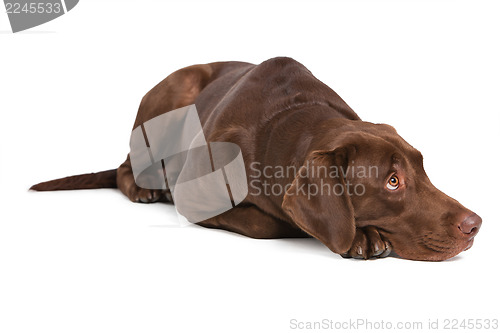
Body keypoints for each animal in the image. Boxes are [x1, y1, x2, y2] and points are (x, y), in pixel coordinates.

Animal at [30, 56, 480, 260]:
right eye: (392, 181)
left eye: (423, 169)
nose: (475, 224)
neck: (292, 118)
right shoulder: (195, 197)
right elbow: (269, 222)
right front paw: (361, 236)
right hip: (171, 96)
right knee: (127, 167)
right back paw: (145, 190)